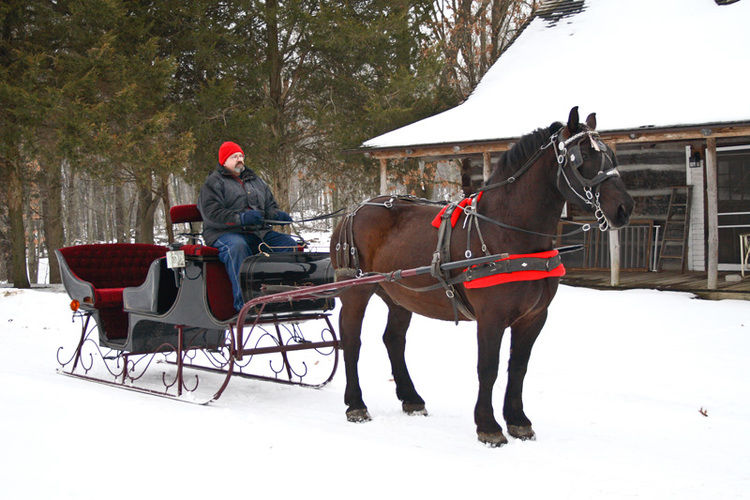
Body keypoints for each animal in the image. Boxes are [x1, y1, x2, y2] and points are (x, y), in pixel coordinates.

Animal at [332, 106, 632, 446]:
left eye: (610, 155)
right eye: (581, 157)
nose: (624, 208)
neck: (506, 233)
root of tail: (355, 209)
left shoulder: (534, 317)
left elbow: (518, 367)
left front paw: (518, 420)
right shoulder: (491, 316)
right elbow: (488, 368)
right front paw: (488, 426)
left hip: (400, 295)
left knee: (394, 339)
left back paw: (411, 398)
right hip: (356, 291)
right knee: (351, 340)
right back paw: (356, 404)